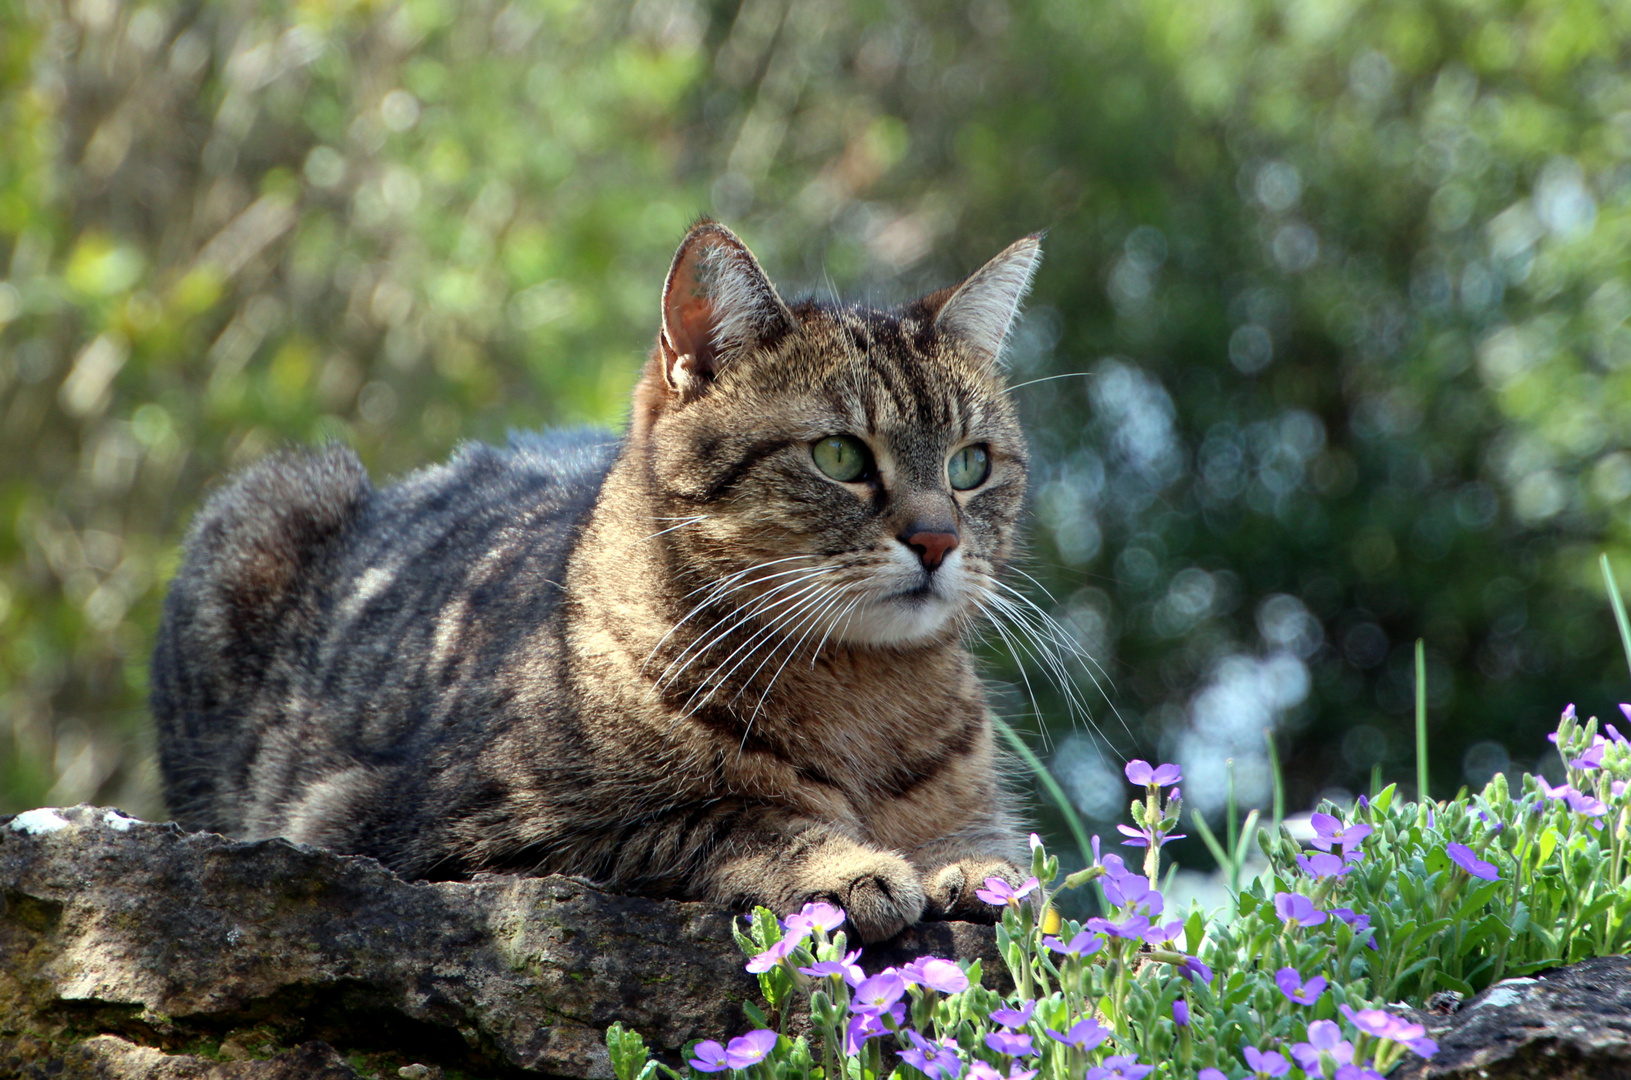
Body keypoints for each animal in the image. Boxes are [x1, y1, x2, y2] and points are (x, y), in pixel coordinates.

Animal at [155, 223, 1043, 946]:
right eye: (839, 456)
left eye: (970, 465)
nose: (937, 538)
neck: (863, 695)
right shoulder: (433, 824)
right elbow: (717, 818)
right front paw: (845, 862)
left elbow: (992, 848)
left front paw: (971, 867)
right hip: (271, 499)